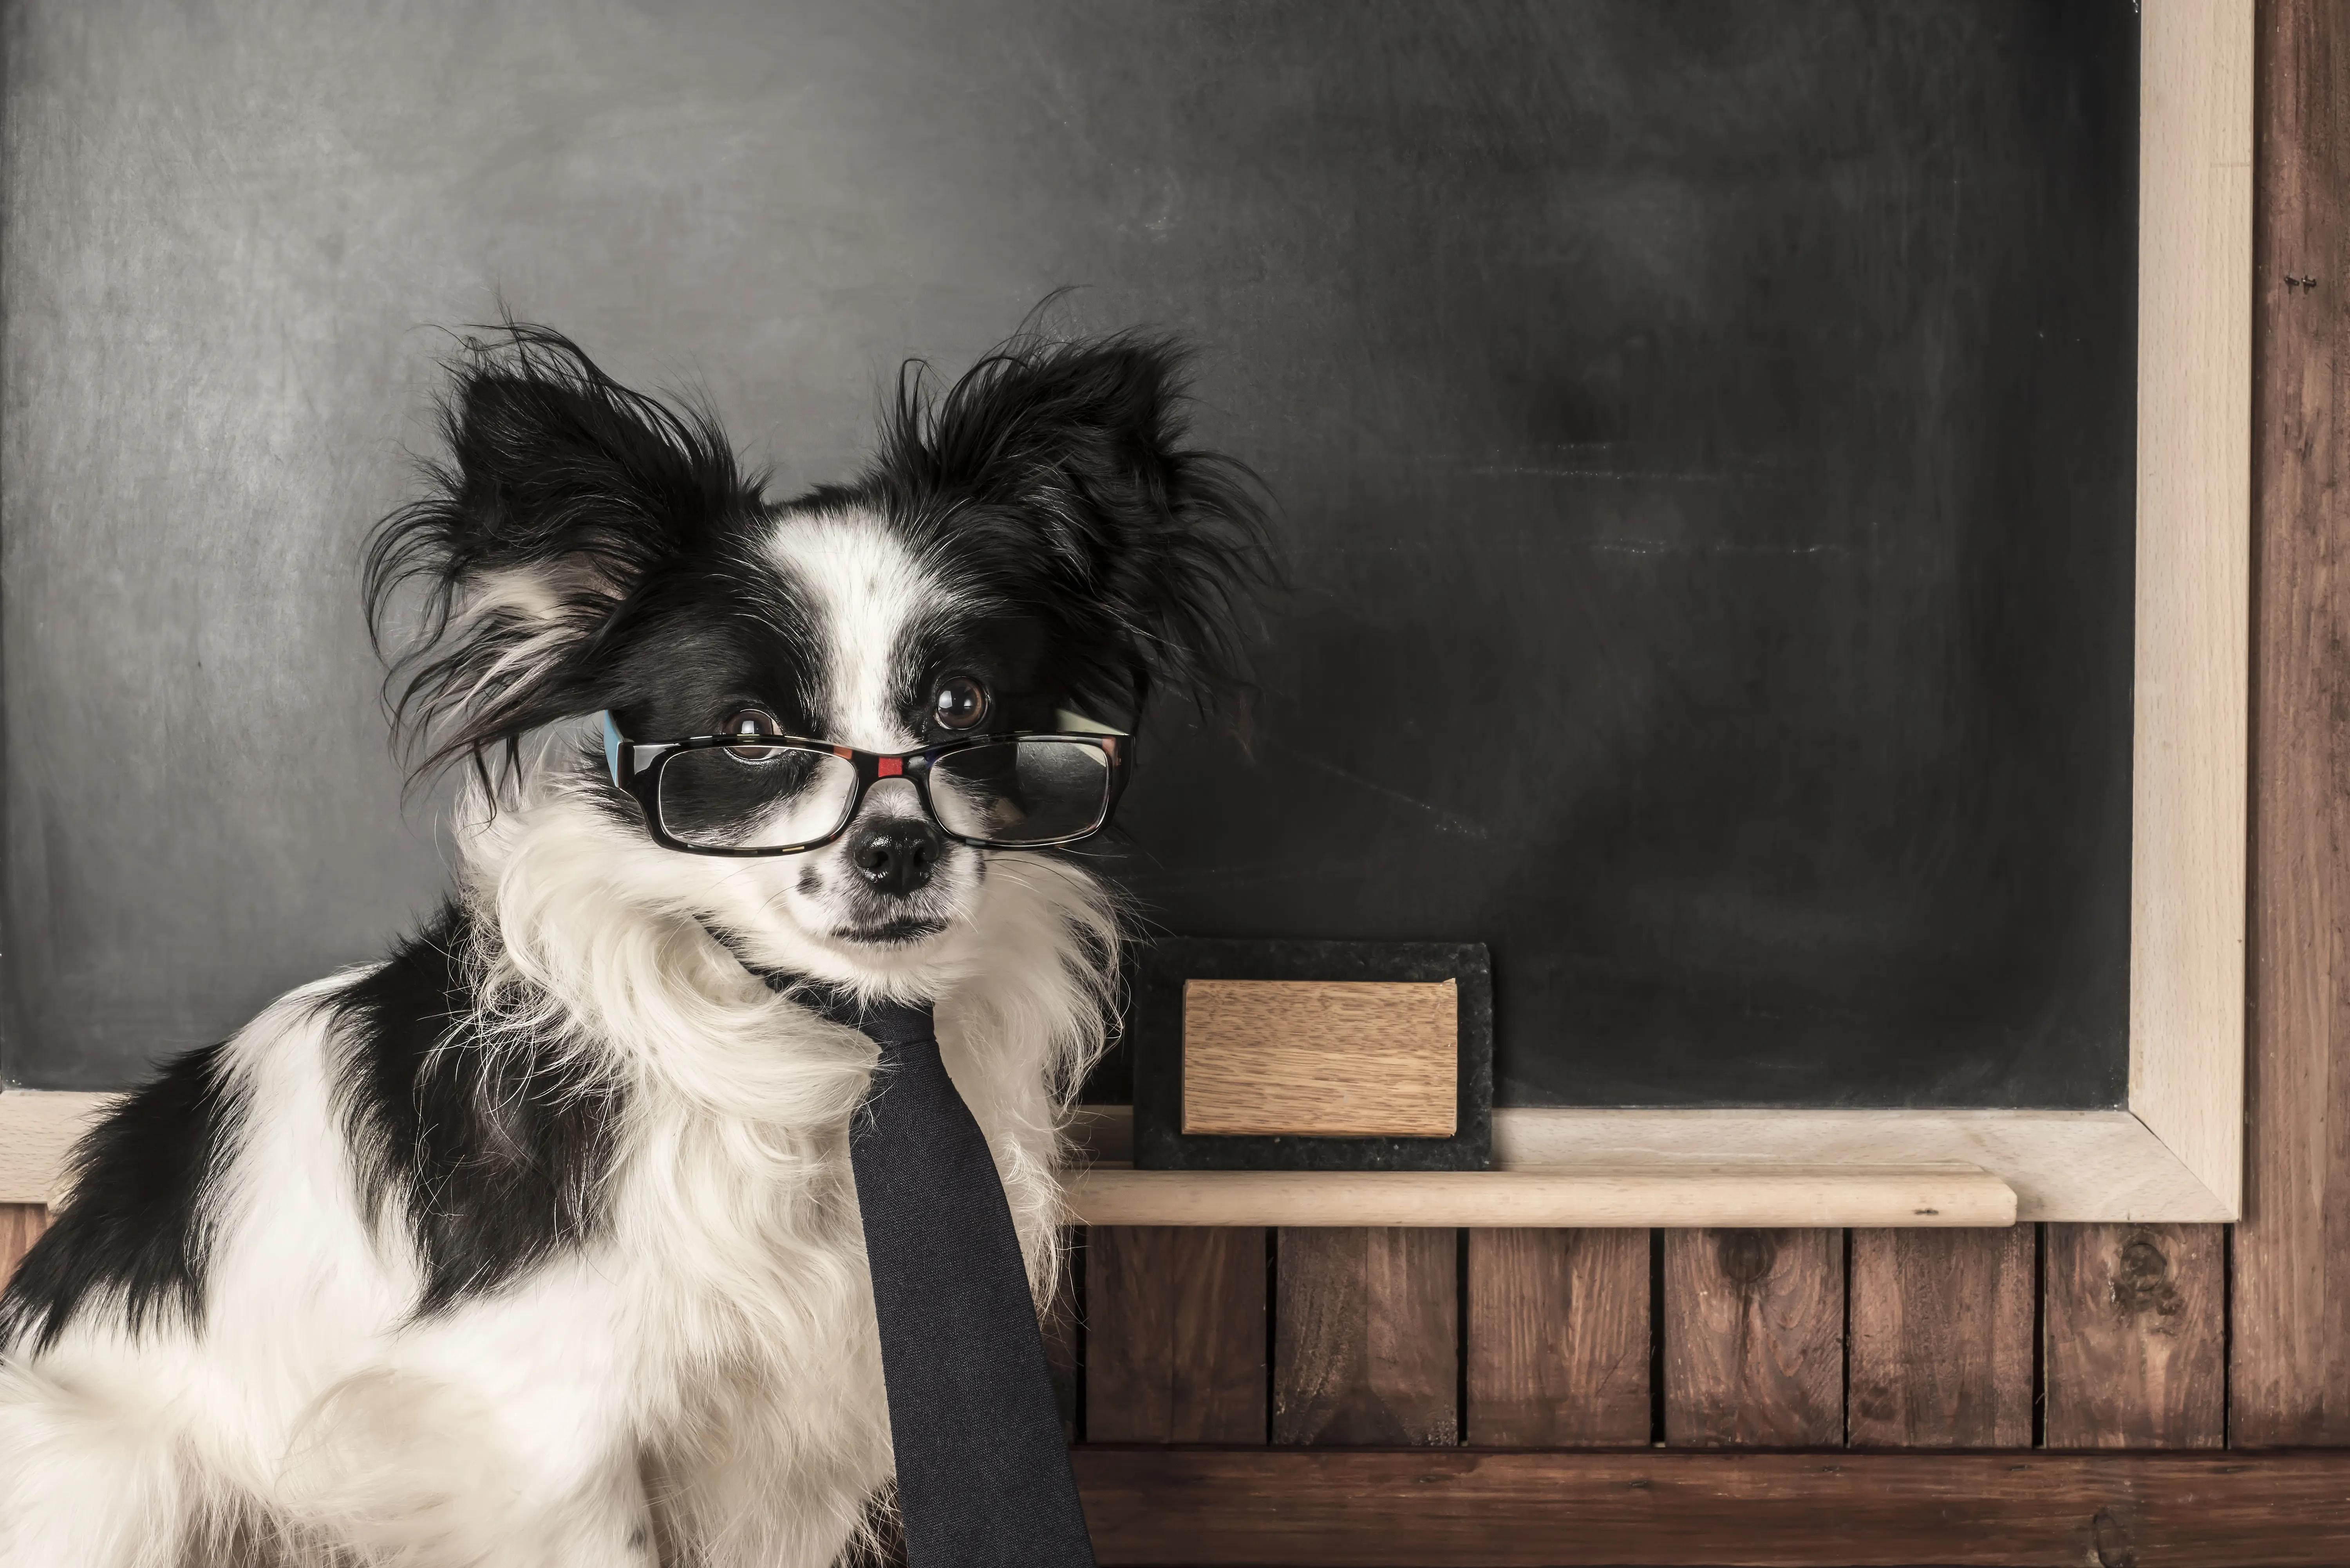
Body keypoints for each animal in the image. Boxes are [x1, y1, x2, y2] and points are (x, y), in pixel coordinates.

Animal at [0, 324, 1278, 1561]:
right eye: (750, 736)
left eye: (962, 707)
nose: (899, 850)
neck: (823, 1045)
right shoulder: (547, 1438)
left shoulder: (795, 1445)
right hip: (128, 1486)